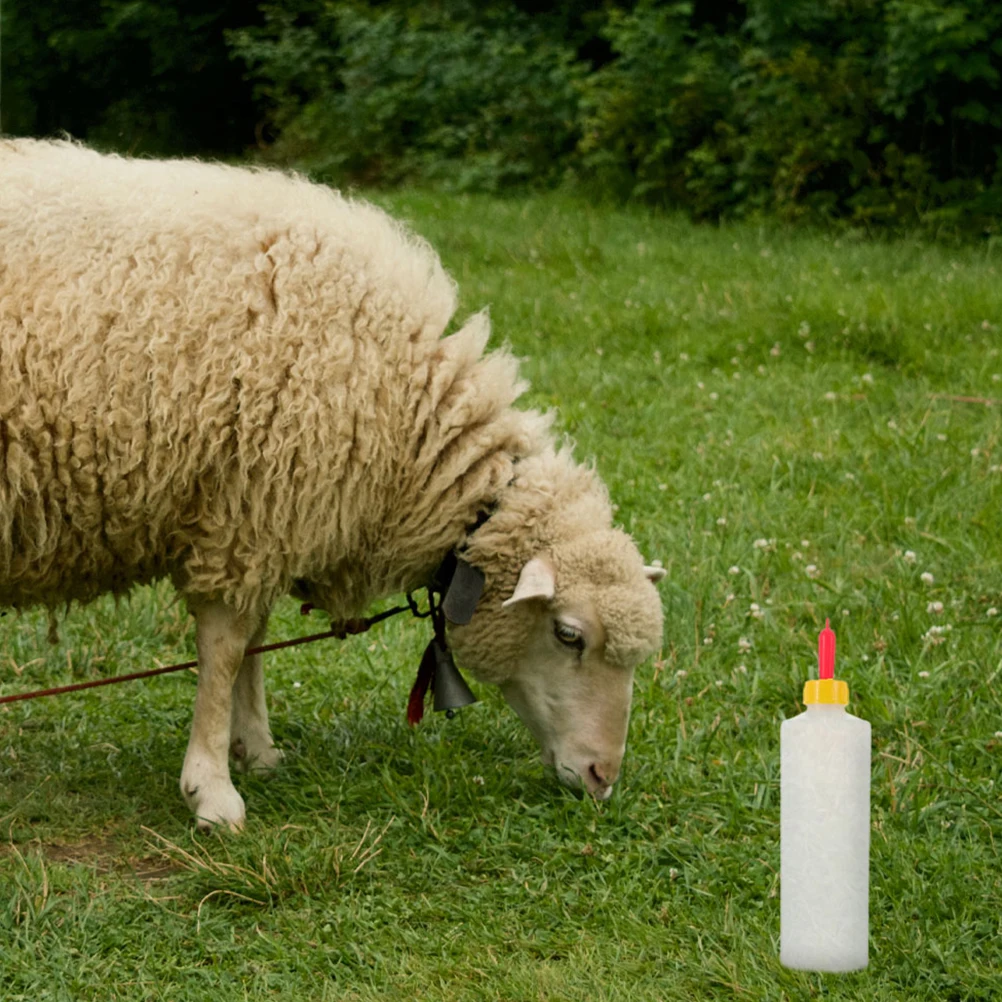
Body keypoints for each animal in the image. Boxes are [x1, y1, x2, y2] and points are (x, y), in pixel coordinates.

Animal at [0, 139, 665, 830]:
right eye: (569, 636)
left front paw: (257, 750)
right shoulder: (247, 513)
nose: (603, 778)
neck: (409, 420)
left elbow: (252, 645)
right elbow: (225, 651)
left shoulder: (265, 519)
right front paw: (212, 790)